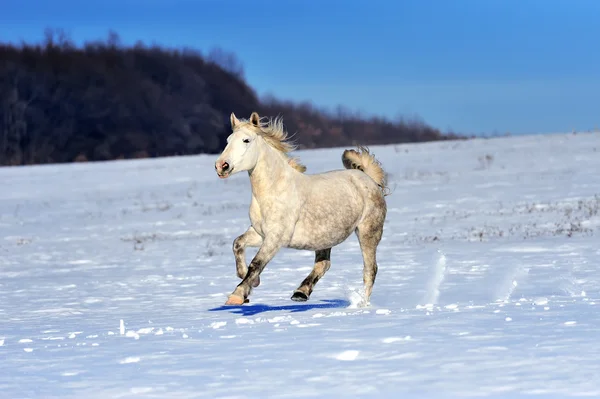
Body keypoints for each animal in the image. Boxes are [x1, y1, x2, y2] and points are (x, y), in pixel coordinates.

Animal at [216, 111, 390, 306]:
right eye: (228, 140)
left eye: (246, 140)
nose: (221, 166)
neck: (273, 190)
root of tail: (369, 179)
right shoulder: (260, 233)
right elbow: (237, 244)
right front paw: (251, 282)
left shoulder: (275, 238)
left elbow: (256, 263)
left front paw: (237, 295)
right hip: (325, 237)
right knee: (324, 264)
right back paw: (301, 293)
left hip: (368, 232)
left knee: (370, 270)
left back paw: (361, 306)